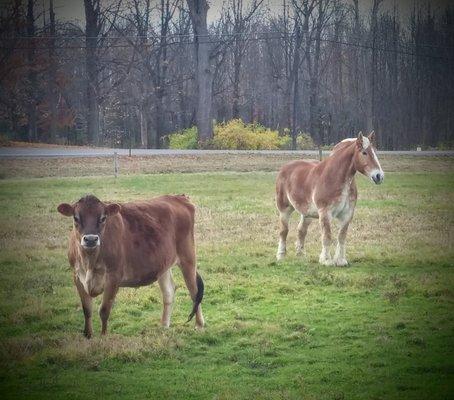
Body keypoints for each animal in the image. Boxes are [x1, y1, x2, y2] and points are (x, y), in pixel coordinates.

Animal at [57, 194, 204, 338]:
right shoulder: (77, 276)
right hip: (163, 264)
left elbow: (104, 310)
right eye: (76, 217)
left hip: (188, 258)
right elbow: (87, 310)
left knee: (195, 292)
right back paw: (164, 326)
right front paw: (87, 335)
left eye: (103, 218)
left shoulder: (113, 277)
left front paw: (103, 337)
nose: (91, 239)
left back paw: (199, 325)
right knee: (169, 292)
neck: (90, 262)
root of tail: (178, 197)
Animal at [276, 131, 384, 268]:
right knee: (283, 231)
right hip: (284, 209)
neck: (335, 177)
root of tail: (285, 168)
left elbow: (341, 236)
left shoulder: (347, 214)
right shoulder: (325, 213)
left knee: (301, 231)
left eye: (375, 151)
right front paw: (326, 260)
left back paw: (301, 255)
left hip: (307, 214)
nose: (379, 176)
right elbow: (327, 236)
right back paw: (281, 255)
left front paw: (341, 260)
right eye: (364, 152)